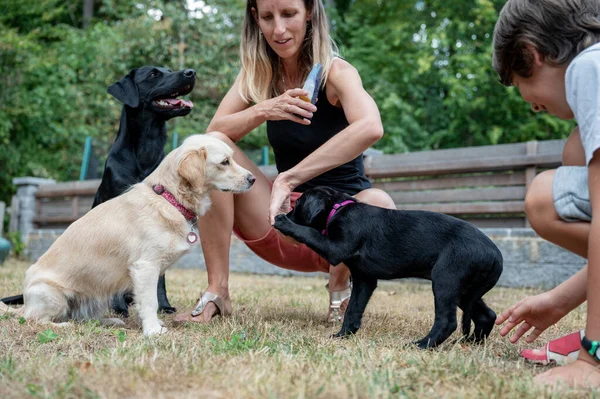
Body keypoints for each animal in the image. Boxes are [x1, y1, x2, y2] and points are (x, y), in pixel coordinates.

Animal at [274, 188, 504, 350]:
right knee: (487, 315)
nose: (283, 213)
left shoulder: (336, 248)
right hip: (465, 290)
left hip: (446, 280)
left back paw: (422, 345)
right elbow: (353, 309)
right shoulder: (364, 279)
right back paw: (471, 344)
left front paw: (284, 223)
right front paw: (343, 335)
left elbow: (310, 233)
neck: (338, 208)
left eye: (298, 203)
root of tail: (496, 256)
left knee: (447, 321)